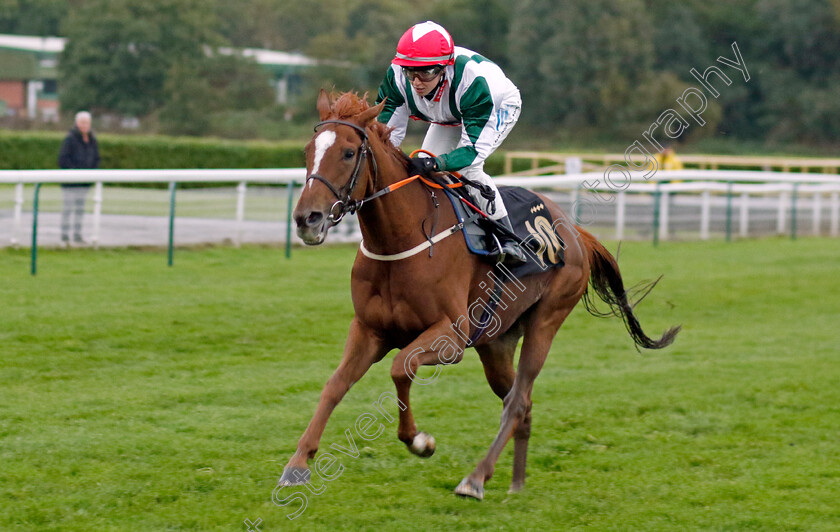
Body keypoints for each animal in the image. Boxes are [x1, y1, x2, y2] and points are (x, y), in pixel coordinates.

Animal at [278, 90, 680, 498]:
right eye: (308, 150)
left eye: (347, 152)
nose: (307, 219)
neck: (401, 239)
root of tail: (574, 230)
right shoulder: (368, 329)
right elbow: (335, 385)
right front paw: (297, 464)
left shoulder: (451, 338)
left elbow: (400, 367)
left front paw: (420, 441)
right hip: (496, 342)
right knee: (520, 402)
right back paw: (515, 483)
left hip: (546, 320)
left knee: (517, 401)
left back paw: (474, 478)